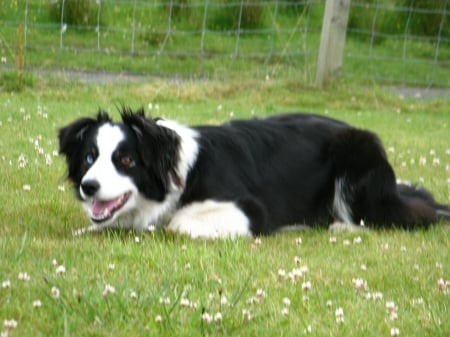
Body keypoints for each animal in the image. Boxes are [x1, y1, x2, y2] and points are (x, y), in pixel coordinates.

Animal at [59, 107, 450, 236]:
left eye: (126, 160)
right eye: (90, 157)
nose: (88, 187)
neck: (181, 174)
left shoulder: (250, 209)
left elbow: (178, 223)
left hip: (358, 153)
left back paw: (342, 226)